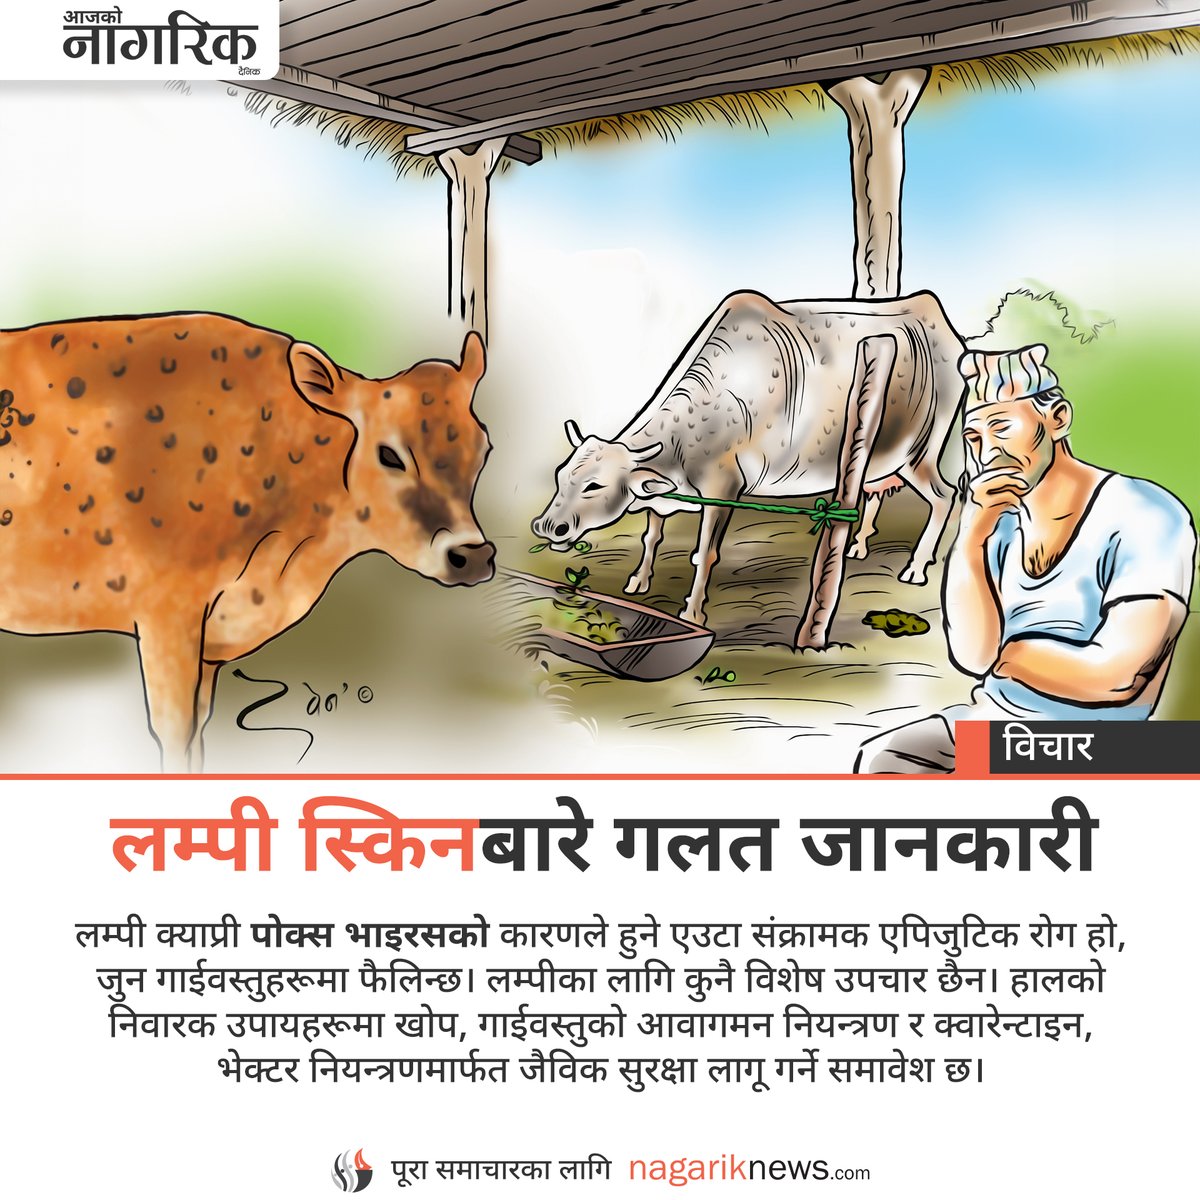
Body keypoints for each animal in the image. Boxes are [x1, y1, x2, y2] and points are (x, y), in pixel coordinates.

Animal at [0, 312, 494, 770]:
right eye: (389, 454)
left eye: (484, 449)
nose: (472, 554)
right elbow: (174, 735)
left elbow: (197, 735)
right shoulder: (166, 616)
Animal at [532, 290, 964, 626]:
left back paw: (915, 568)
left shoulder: (723, 489)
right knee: (873, 490)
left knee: (945, 497)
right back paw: (855, 546)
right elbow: (651, 533)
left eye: (595, 485)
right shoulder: (662, 494)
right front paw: (639, 581)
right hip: (879, 456)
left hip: (921, 452)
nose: (547, 525)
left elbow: (707, 552)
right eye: (561, 476)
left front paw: (693, 612)